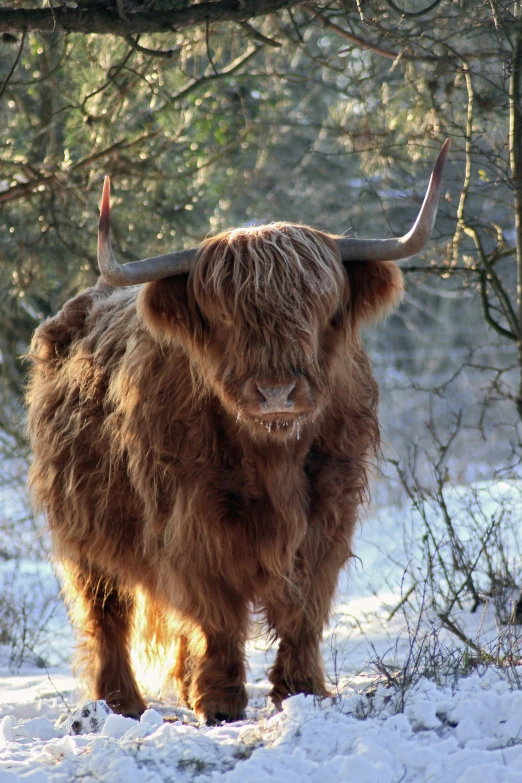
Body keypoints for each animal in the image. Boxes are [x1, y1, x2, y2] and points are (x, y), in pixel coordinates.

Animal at [25, 142, 446, 728]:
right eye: (226, 318)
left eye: (319, 308)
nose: (276, 392)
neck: (273, 456)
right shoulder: (194, 520)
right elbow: (217, 612)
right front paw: (222, 703)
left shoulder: (329, 511)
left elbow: (305, 606)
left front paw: (301, 690)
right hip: (84, 529)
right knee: (107, 611)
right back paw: (121, 704)